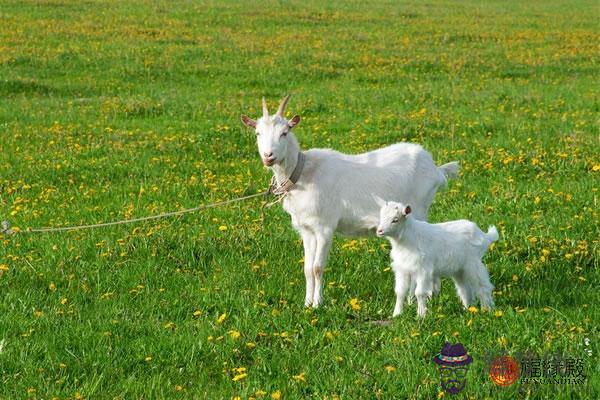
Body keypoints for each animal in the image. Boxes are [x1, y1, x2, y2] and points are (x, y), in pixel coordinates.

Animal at [240, 95, 460, 308]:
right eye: (257, 133)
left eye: (285, 133)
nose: (268, 156)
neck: (303, 173)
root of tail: (436, 169)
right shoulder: (307, 229)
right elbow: (307, 268)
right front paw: (306, 303)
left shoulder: (325, 227)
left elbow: (318, 267)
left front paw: (318, 304)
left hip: (419, 209)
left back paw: (417, 298)